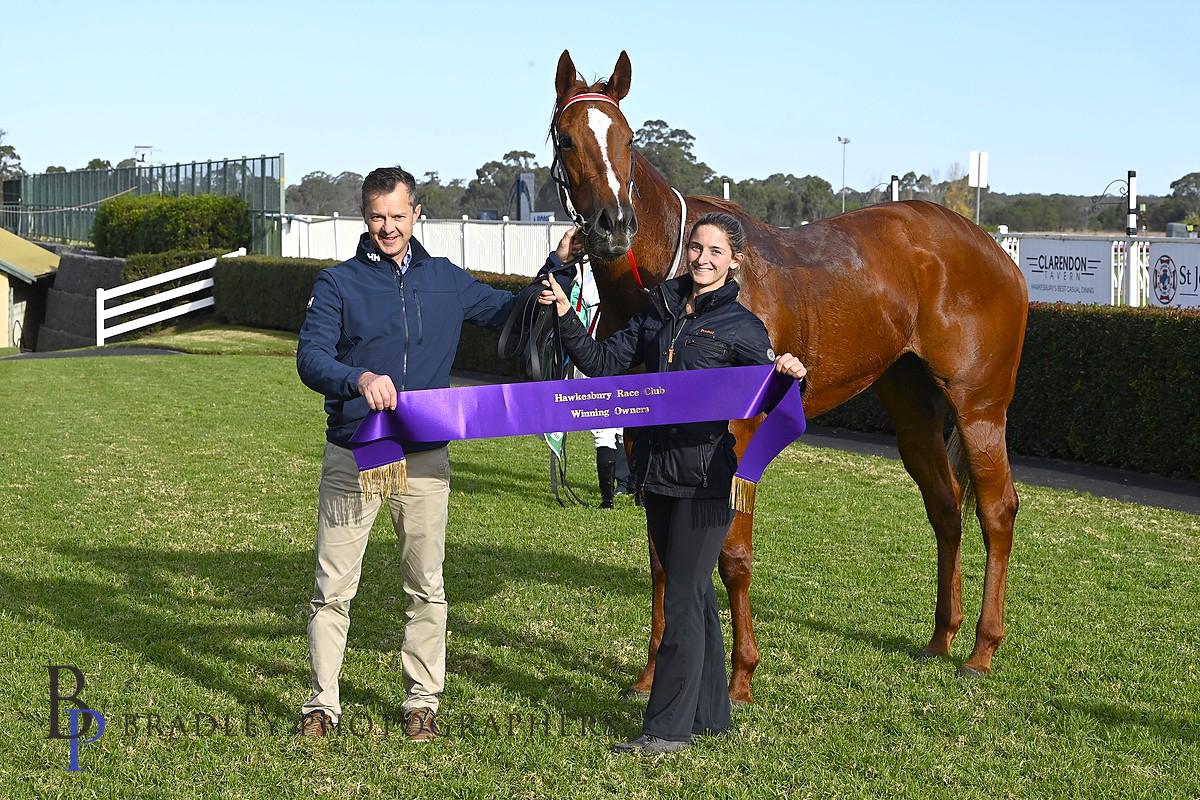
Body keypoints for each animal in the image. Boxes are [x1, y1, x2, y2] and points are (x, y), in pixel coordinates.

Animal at [548, 50, 1029, 703]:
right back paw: (941, 637)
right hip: (912, 408)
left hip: (979, 407)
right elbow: (661, 557)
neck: (679, 285)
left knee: (996, 511)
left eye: (627, 138)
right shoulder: (649, 437)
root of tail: (996, 251)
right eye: (567, 138)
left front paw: (740, 679)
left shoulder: (736, 436)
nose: (613, 224)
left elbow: (733, 557)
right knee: (946, 507)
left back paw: (982, 648)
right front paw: (650, 677)